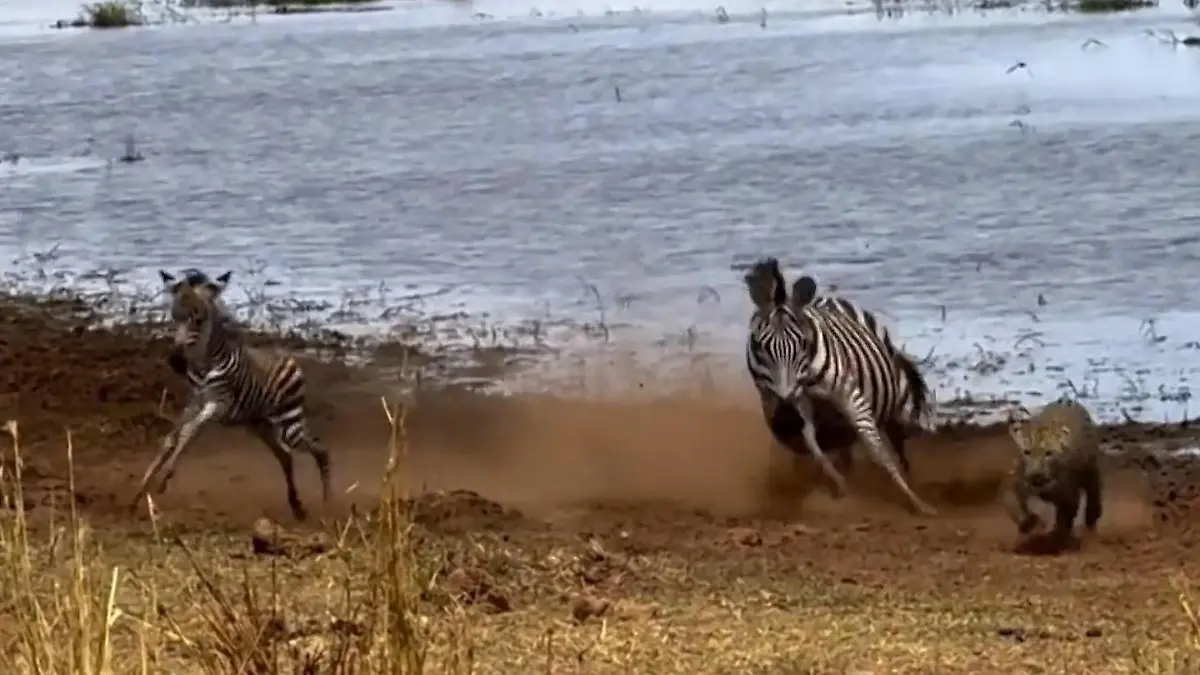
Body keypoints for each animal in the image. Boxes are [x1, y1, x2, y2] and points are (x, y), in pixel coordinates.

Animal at [130, 276, 332, 520]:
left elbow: (188, 432)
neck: (204, 365)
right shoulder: (195, 402)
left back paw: (327, 504)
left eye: (199, 320)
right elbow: (171, 439)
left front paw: (165, 477)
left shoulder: (218, 404)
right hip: (260, 425)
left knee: (319, 450)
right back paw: (297, 506)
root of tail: (289, 357)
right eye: (174, 317)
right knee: (286, 456)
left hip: (289, 423)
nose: (176, 361)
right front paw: (140, 493)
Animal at [744, 257, 937, 516]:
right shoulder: (796, 401)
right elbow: (814, 445)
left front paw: (916, 501)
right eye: (759, 346)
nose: (785, 421)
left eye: (803, 344)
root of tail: (828, 299)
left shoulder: (850, 396)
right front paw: (841, 486)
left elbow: (878, 451)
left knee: (887, 433)